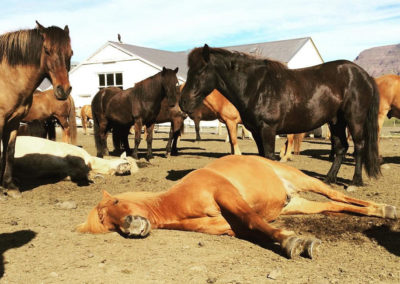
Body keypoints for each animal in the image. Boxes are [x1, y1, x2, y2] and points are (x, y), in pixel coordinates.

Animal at [0, 21, 72, 197]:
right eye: (46, 50)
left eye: (71, 52)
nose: (63, 90)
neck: (7, 79)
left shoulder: (13, 122)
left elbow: (9, 151)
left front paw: (9, 186)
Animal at [76, 155, 396, 260]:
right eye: (105, 221)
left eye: (116, 202)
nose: (130, 225)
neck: (177, 202)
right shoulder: (226, 226)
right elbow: (254, 228)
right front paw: (295, 241)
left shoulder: (228, 196)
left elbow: (254, 220)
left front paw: (295, 242)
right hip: (296, 204)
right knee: (334, 206)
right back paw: (380, 212)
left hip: (304, 180)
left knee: (337, 195)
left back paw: (385, 209)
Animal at [181, 44, 382, 186]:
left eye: (200, 71)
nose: (183, 103)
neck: (256, 87)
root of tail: (364, 75)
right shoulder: (256, 132)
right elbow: (262, 157)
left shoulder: (268, 129)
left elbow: (270, 156)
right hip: (336, 122)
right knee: (341, 147)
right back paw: (329, 179)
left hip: (354, 119)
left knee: (359, 146)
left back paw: (356, 181)